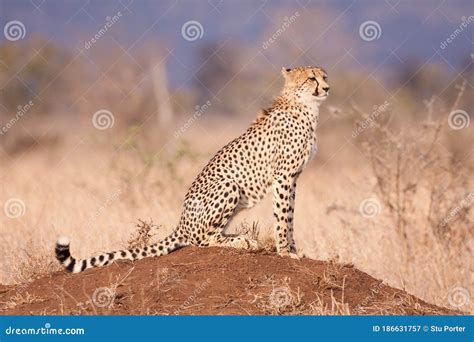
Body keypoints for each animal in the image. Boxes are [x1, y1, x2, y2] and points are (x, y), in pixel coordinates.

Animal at [55, 65, 330, 272]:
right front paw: (284, 252)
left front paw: (293, 249)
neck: (305, 106)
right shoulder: (283, 176)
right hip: (228, 185)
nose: (327, 88)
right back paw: (242, 241)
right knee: (202, 240)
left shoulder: (293, 178)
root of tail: (181, 223)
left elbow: (289, 216)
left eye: (324, 76)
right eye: (311, 78)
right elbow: (282, 217)